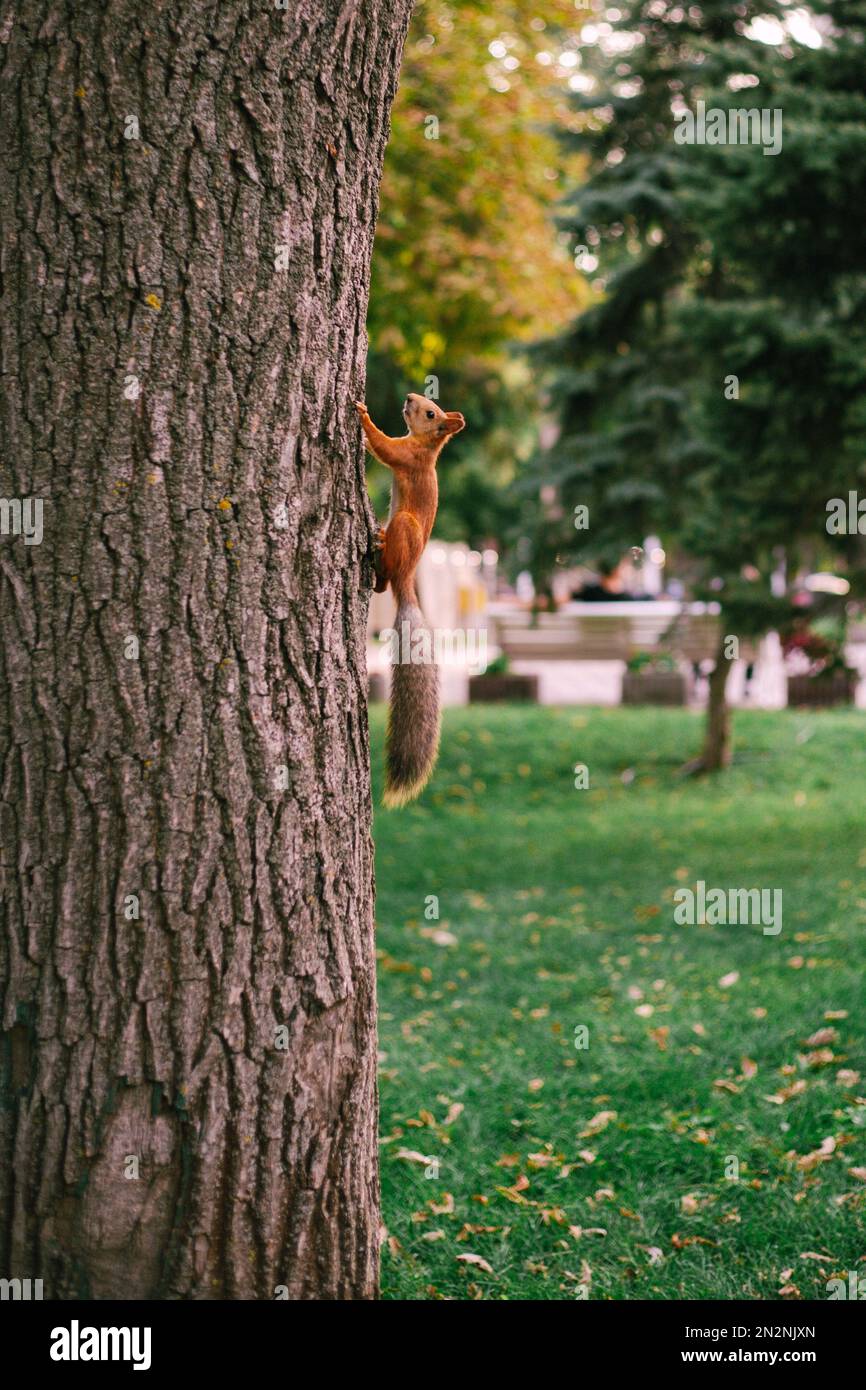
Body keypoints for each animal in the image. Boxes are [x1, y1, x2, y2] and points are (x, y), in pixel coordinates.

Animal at [355, 391, 467, 806]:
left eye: (430, 413)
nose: (408, 397)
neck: (425, 446)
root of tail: (408, 580)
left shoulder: (405, 456)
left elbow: (384, 447)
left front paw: (363, 415)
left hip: (404, 526)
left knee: (385, 580)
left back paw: (379, 549)